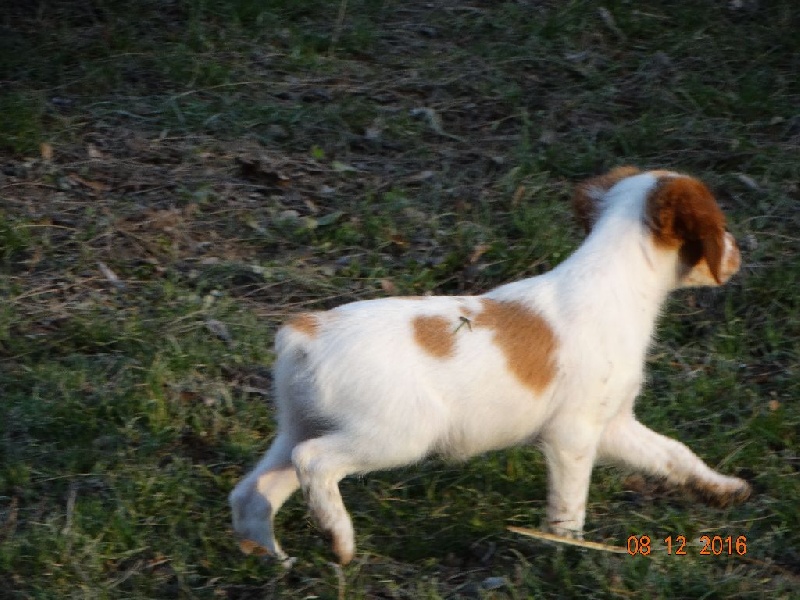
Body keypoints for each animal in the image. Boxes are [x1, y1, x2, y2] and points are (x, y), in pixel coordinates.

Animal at [229, 166, 750, 565]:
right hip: (397, 434)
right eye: (722, 225)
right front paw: (568, 554)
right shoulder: (573, 436)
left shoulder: (614, 425)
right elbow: (569, 506)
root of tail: (305, 332)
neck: (611, 278)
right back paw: (338, 536)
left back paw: (270, 559)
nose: (739, 253)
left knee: (254, 491)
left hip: (299, 423)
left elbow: (674, 453)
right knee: (313, 462)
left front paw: (721, 487)